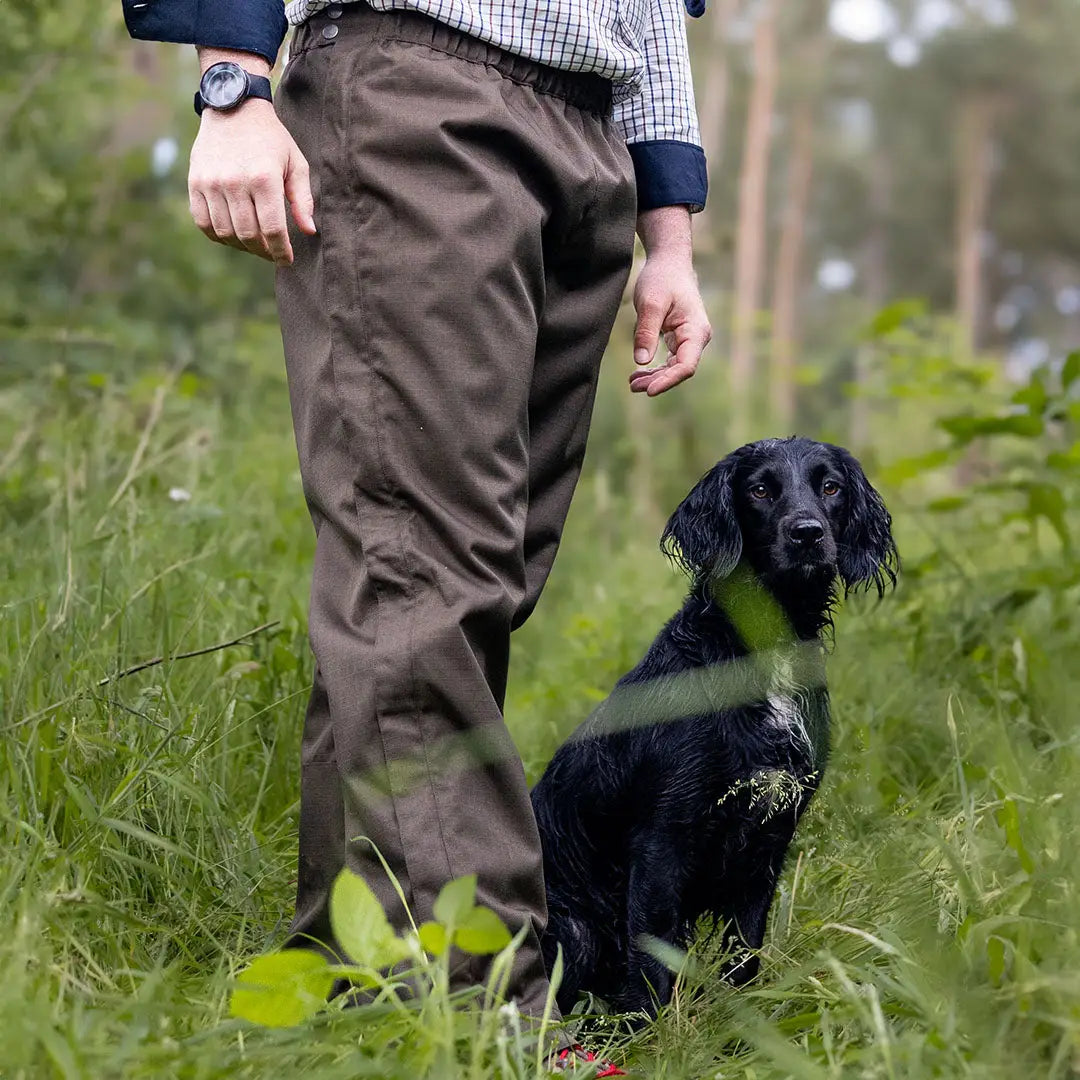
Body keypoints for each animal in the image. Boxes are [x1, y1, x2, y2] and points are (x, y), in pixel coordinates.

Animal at [529, 438, 894, 1019]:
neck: (764, 648)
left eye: (831, 486)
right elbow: (652, 963)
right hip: (577, 930)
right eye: (760, 490)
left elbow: (744, 952)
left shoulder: (768, 840)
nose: (808, 533)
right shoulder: (662, 841)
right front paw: (655, 1034)